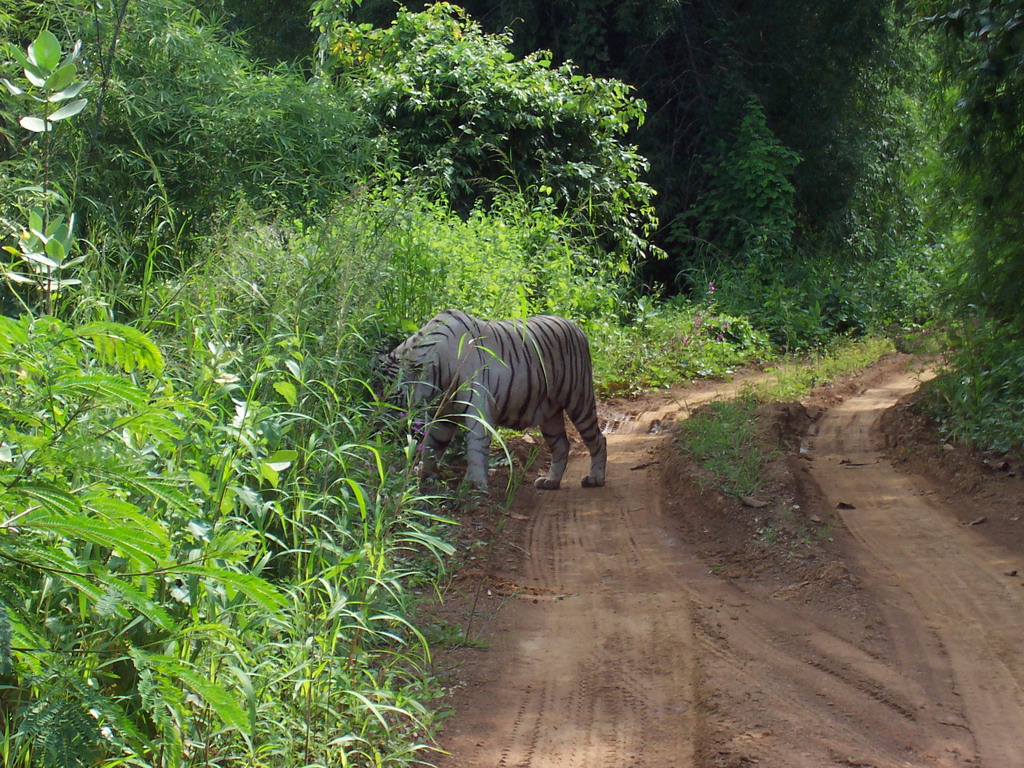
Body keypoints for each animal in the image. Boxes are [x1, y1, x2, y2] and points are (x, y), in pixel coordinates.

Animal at [382, 309, 606, 489]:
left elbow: (475, 446)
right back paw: (550, 482)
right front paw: (423, 479)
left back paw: (595, 478)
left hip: (580, 400)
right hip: (550, 414)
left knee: (598, 438)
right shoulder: (442, 414)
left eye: (391, 394)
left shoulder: (477, 410)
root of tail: (577, 328)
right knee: (561, 445)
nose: (378, 421)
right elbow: (431, 445)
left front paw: (473, 484)